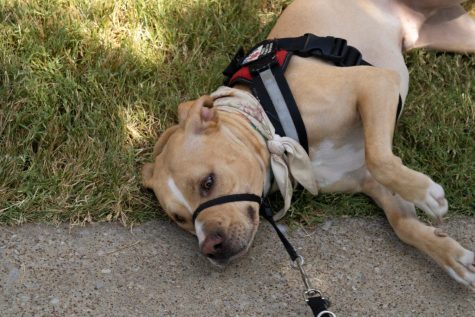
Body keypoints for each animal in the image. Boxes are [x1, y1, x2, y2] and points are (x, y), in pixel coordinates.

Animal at [142, 0, 475, 286]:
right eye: (179, 219)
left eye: (208, 182)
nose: (209, 246)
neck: (270, 122)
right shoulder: (368, 180)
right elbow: (404, 225)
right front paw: (453, 257)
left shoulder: (374, 82)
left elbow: (380, 157)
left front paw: (426, 193)